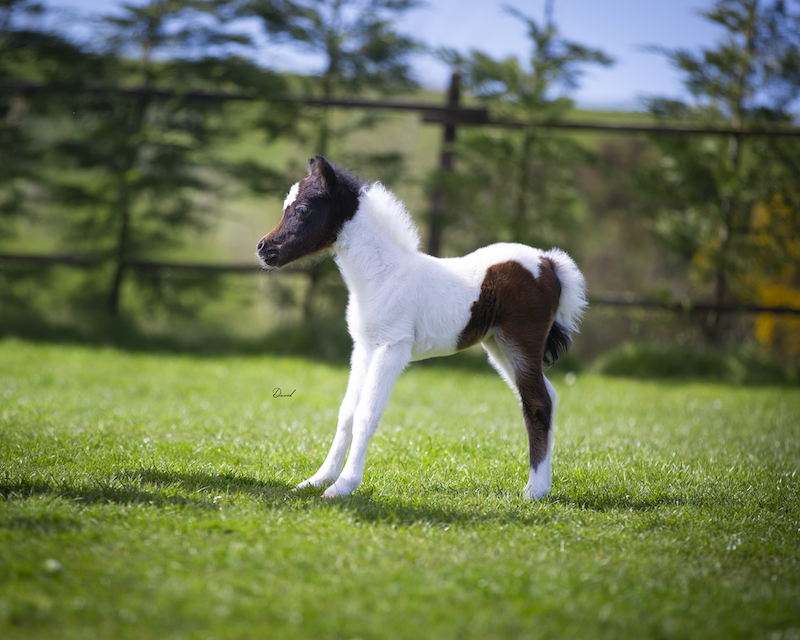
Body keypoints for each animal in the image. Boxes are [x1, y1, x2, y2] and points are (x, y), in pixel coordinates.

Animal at [257, 156, 587, 500]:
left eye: (303, 209)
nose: (264, 248)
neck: (382, 274)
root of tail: (549, 263)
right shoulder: (363, 349)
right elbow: (347, 412)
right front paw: (318, 480)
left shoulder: (392, 348)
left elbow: (366, 414)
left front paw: (343, 486)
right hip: (498, 345)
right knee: (546, 395)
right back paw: (542, 485)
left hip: (521, 341)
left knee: (538, 401)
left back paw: (534, 490)